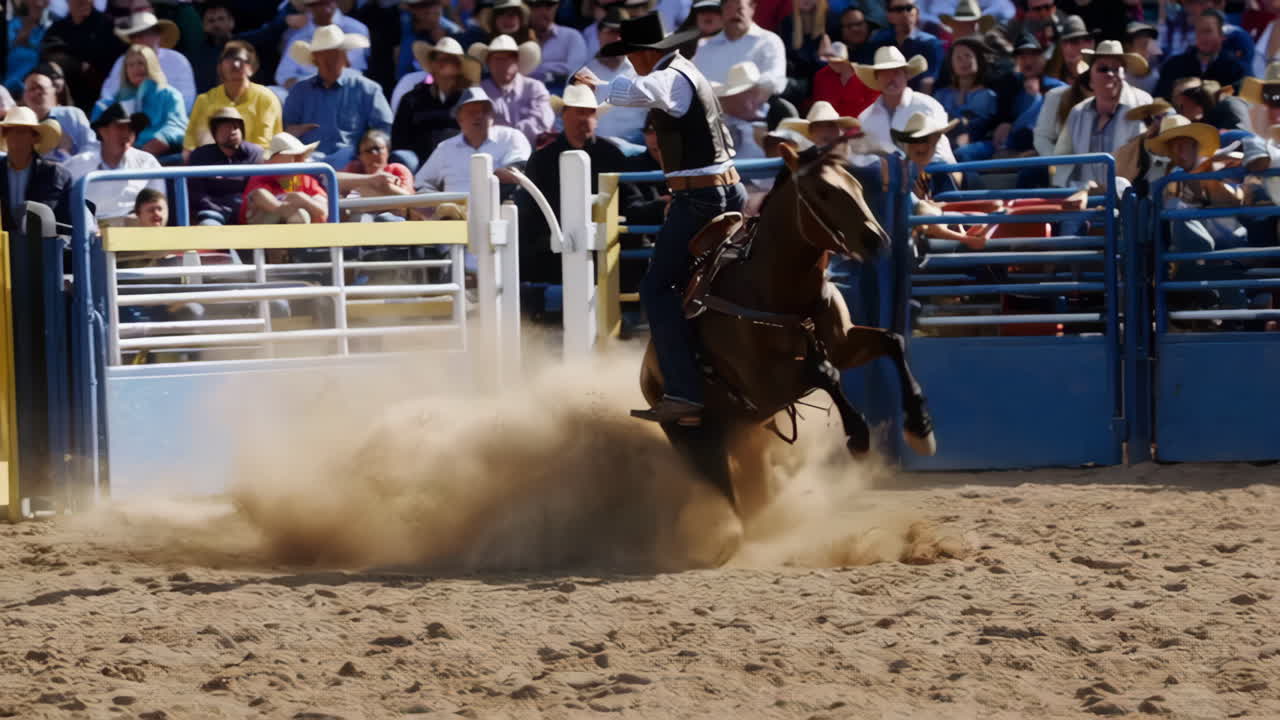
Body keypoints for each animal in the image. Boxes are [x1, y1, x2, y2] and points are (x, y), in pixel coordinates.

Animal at [639, 140, 937, 519]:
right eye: (823, 191)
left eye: (856, 184)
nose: (876, 239)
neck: (778, 292)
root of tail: (647, 373)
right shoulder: (765, 390)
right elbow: (826, 372)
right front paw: (858, 435)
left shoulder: (844, 345)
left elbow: (892, 341)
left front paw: (920, 427)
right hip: (695, 441)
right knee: (726, 492)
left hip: (744, 433)